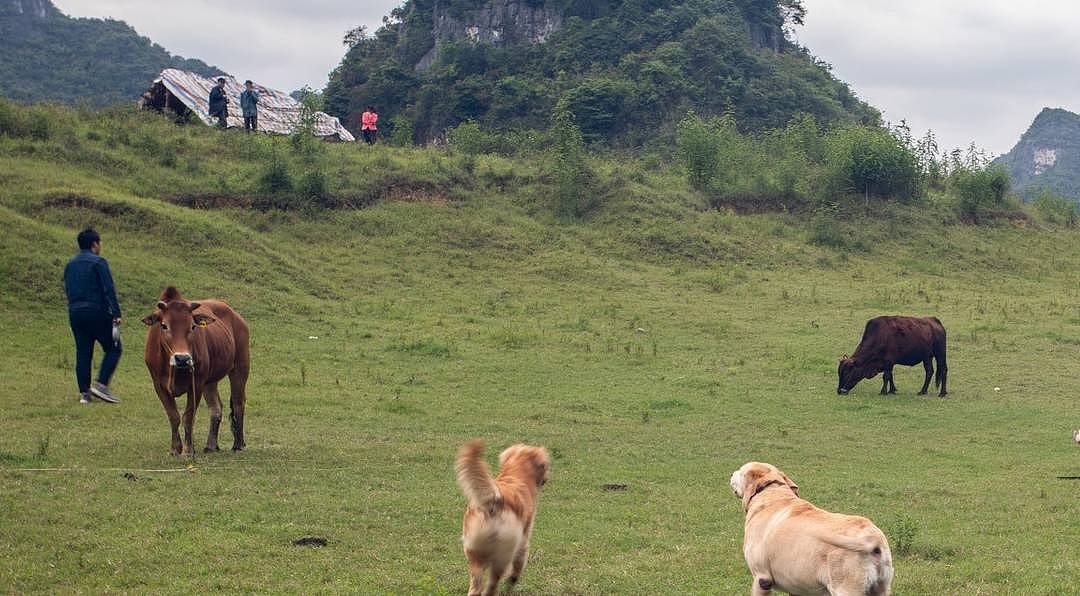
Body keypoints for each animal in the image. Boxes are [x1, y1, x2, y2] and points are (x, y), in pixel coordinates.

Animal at [138, 287, 247, 453]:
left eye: (193, 326)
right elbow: (174, 416)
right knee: (216, 408)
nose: (182, 358)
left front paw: (188, 449)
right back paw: (211, 445)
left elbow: (188, 417)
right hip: (210, 382)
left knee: (238, 403)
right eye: (164, 325)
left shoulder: (197, 383)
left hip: (240, 369)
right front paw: (175, 448)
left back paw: (238, 444)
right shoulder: (159, 385)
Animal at [453, 438, 548, 596]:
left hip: (473, 553)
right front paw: (512, 580)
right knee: (492, 584)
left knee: (476, 587)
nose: (547, 478)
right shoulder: (524, 537)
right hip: (503, 555)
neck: (515, 474)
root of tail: (495, 499)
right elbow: (519, 563)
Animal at [734, 459, 894, 596]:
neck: (773, 494)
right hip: (882, 589)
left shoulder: (762, 579)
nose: (731, 473)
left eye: (740, 470)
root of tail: (873, 538)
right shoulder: (796, 586)